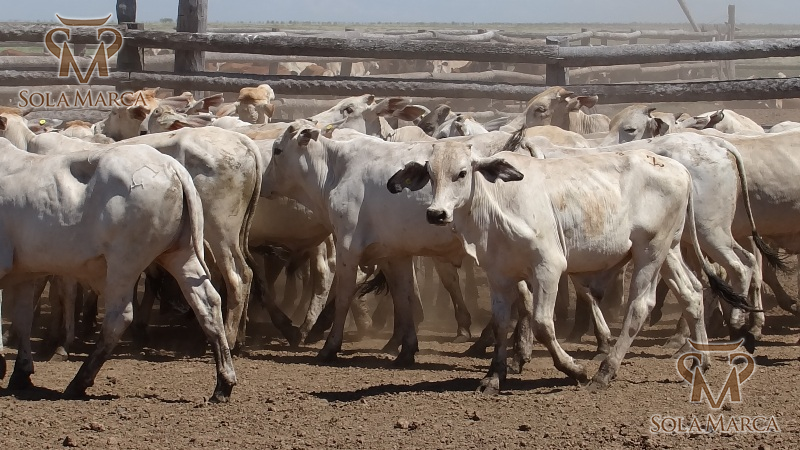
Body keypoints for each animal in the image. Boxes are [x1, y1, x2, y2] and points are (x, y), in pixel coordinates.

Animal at [0, 138, 235, 401]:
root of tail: (172, 166)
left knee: (119, 317)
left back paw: (79, 381)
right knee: (208, 303)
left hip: (124, 263)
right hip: (181, 254)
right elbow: (23, 319)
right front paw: (20, 372)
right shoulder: (23, 275)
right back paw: (223, 383)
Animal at [387, 143, 750, 393]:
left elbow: (542, 322)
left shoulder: (548, 267)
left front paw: (575, 369)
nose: (436, 214)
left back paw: (605, 371)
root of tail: (679, 169)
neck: (496, 204)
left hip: (651, 251)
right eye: (430, 175)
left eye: (462, 173)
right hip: (669, 251)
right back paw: (702, 360)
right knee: (692, 293)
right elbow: (502, 324)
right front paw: (493, 376)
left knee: (641, 305)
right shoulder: (499, 275)